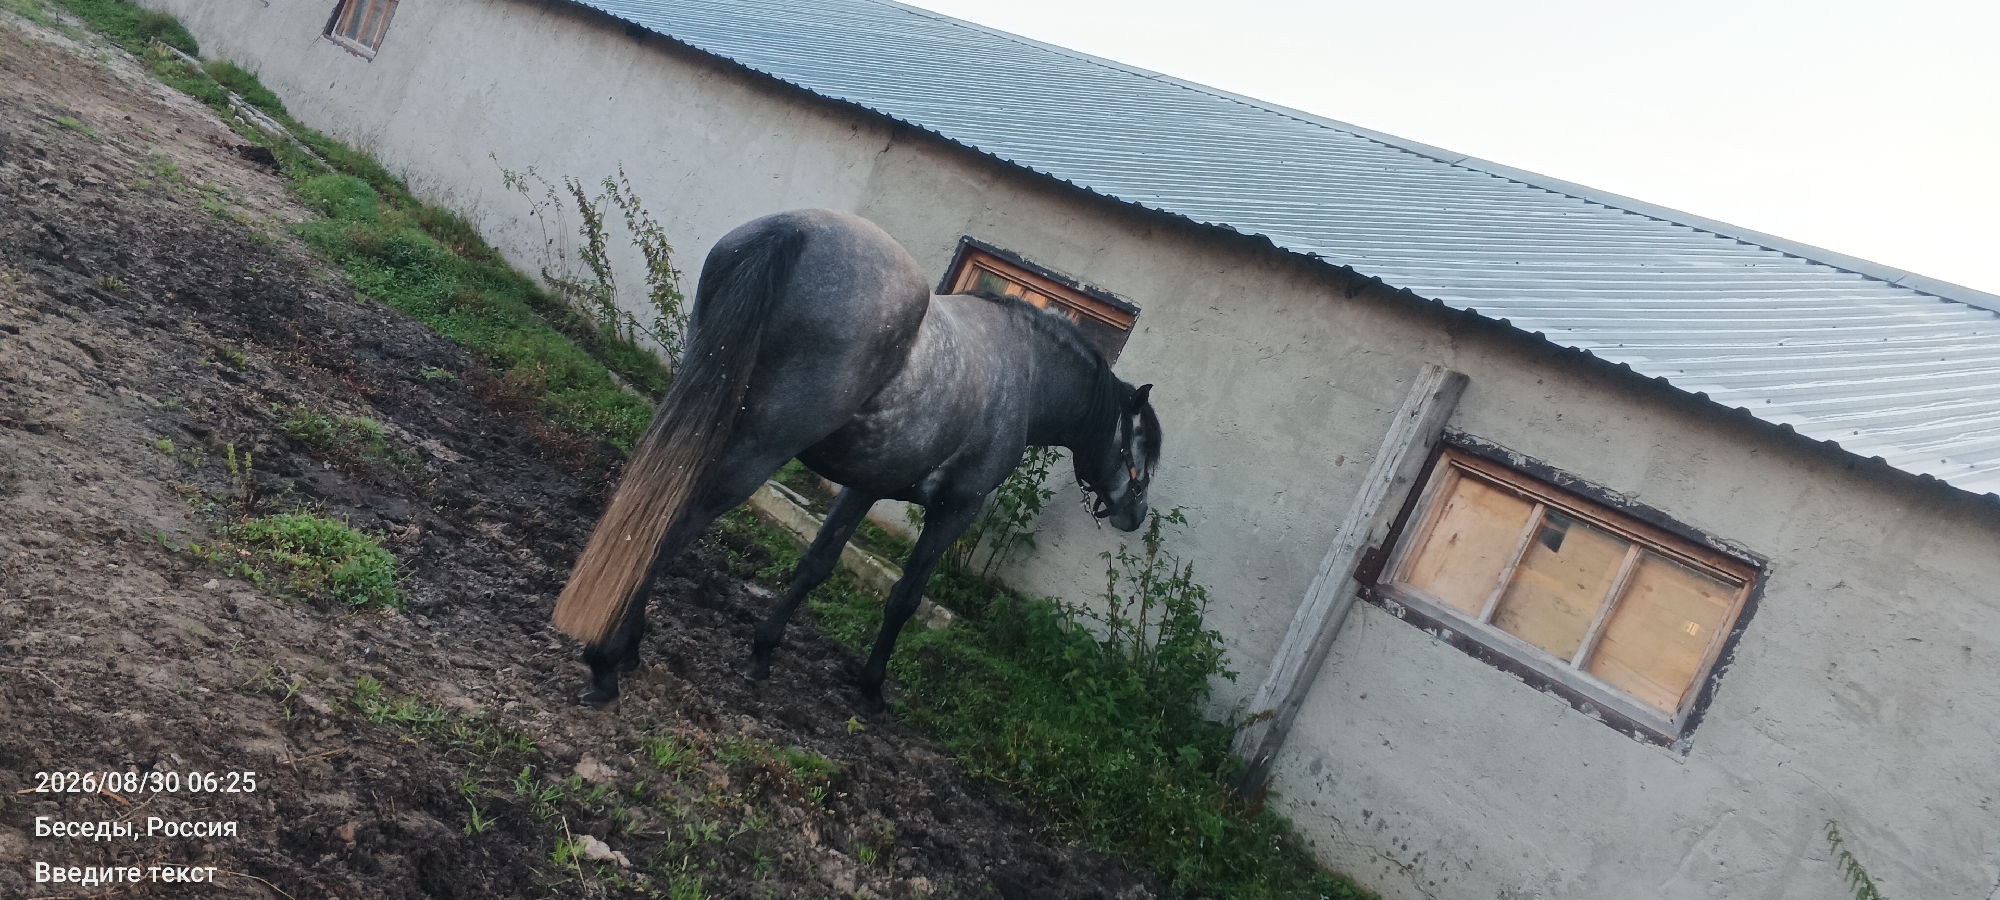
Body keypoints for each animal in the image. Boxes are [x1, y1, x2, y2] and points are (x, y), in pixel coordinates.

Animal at [552, 209, 1163, 712]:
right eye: (1143, 448)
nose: (1134, 515)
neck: (1024, 370)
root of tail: (792, 230)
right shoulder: (954, 509)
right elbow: (905, 598)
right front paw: (871, 688)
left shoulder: (866, 485)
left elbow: (817, 563)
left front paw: (762, 654)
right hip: (755, 449)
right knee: (672, 525)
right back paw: (607, 662)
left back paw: (627, 649)